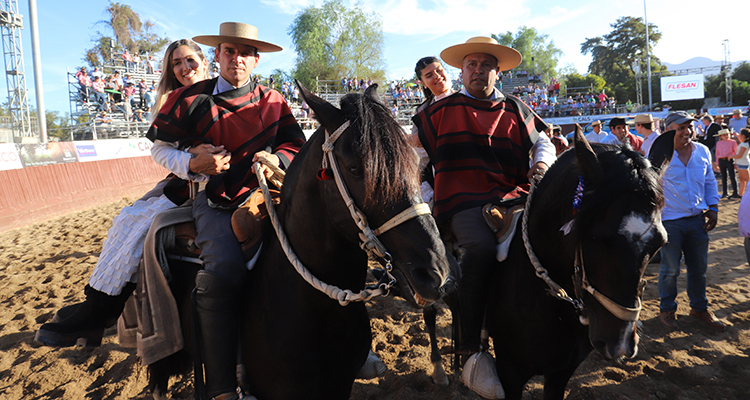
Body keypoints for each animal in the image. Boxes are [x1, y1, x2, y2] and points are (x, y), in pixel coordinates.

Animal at [414, 130, 680, 398]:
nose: (620, 344)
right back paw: (440, 370)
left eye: (659, 243)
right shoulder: (510, 373)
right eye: (597, 238)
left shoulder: (562, 372)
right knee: (430, 315)